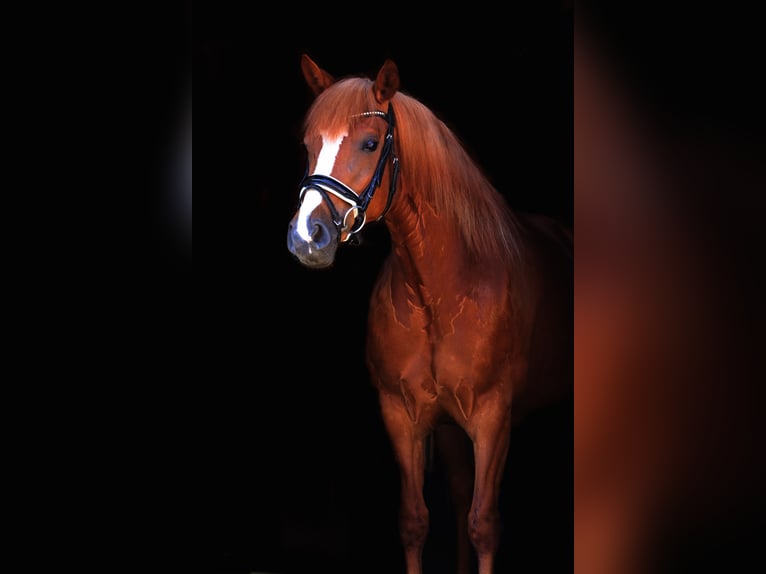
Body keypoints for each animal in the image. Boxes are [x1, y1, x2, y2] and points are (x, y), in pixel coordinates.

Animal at [287, 54, 572, 574]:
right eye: (308, 144)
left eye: (370, 143)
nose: (306, 237)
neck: (438, 290)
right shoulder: (402, 415)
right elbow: (415, 520)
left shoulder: (492, 419)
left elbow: (485, 524)